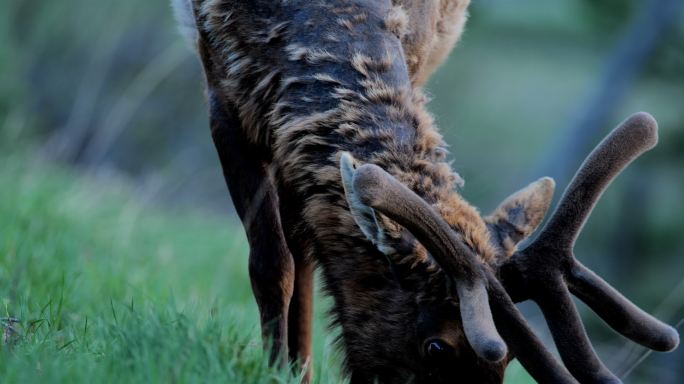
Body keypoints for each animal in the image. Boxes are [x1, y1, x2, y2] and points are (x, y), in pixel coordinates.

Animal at [172, 0, 680, 382]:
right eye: (436, 347)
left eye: (510, 358)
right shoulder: (223, 90)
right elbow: (270, 265)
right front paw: (277, 370)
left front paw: (291, 369)